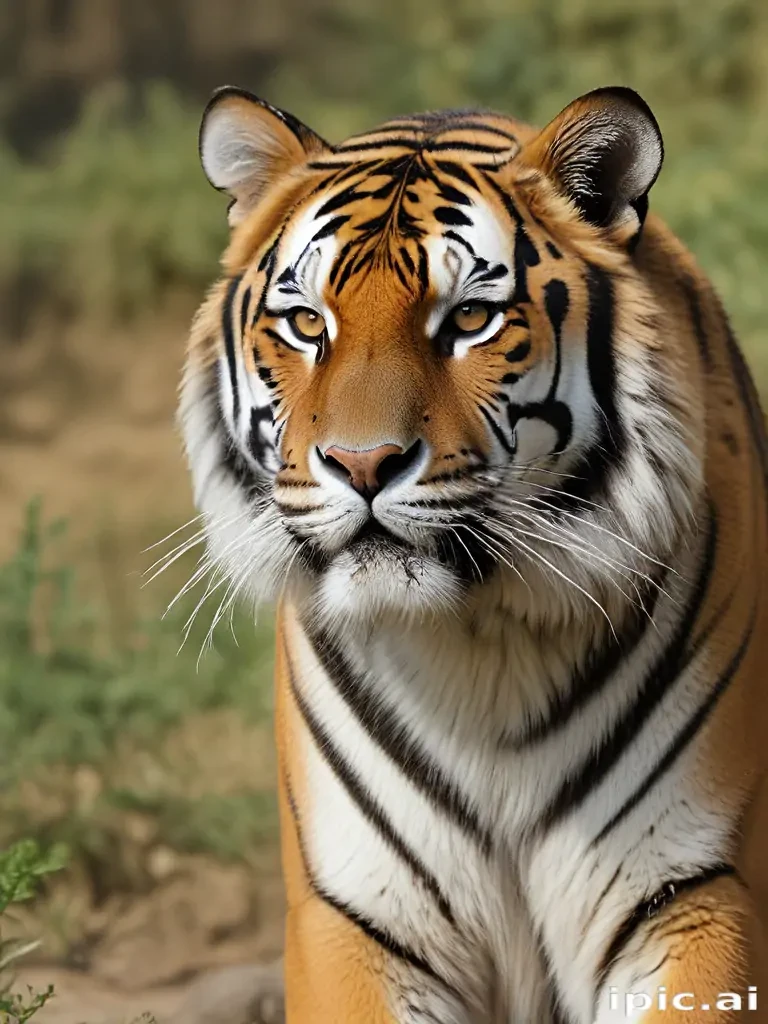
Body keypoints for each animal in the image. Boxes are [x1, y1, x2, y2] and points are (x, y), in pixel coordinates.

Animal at [179, 84, 768, 1023]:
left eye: (469, 320)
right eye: (307, 324)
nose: (362, 464)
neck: (477, 644)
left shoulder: (692, 888)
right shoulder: (358, 914)